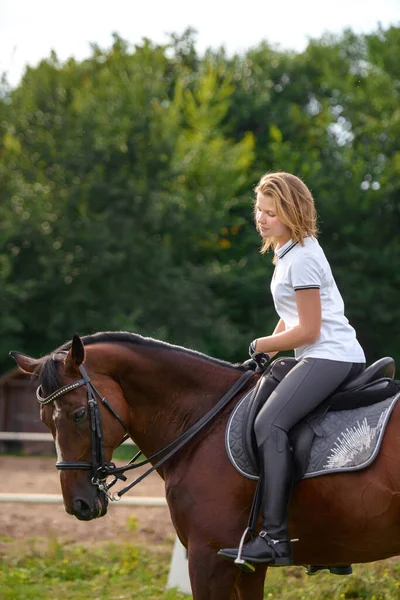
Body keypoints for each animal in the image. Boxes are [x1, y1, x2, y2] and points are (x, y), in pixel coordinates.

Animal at [10, 332, 400, 600]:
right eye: (43, 420)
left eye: (78, 414)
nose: (78, 504)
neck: (205, 422)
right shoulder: (248, 568)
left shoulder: (208, 559)